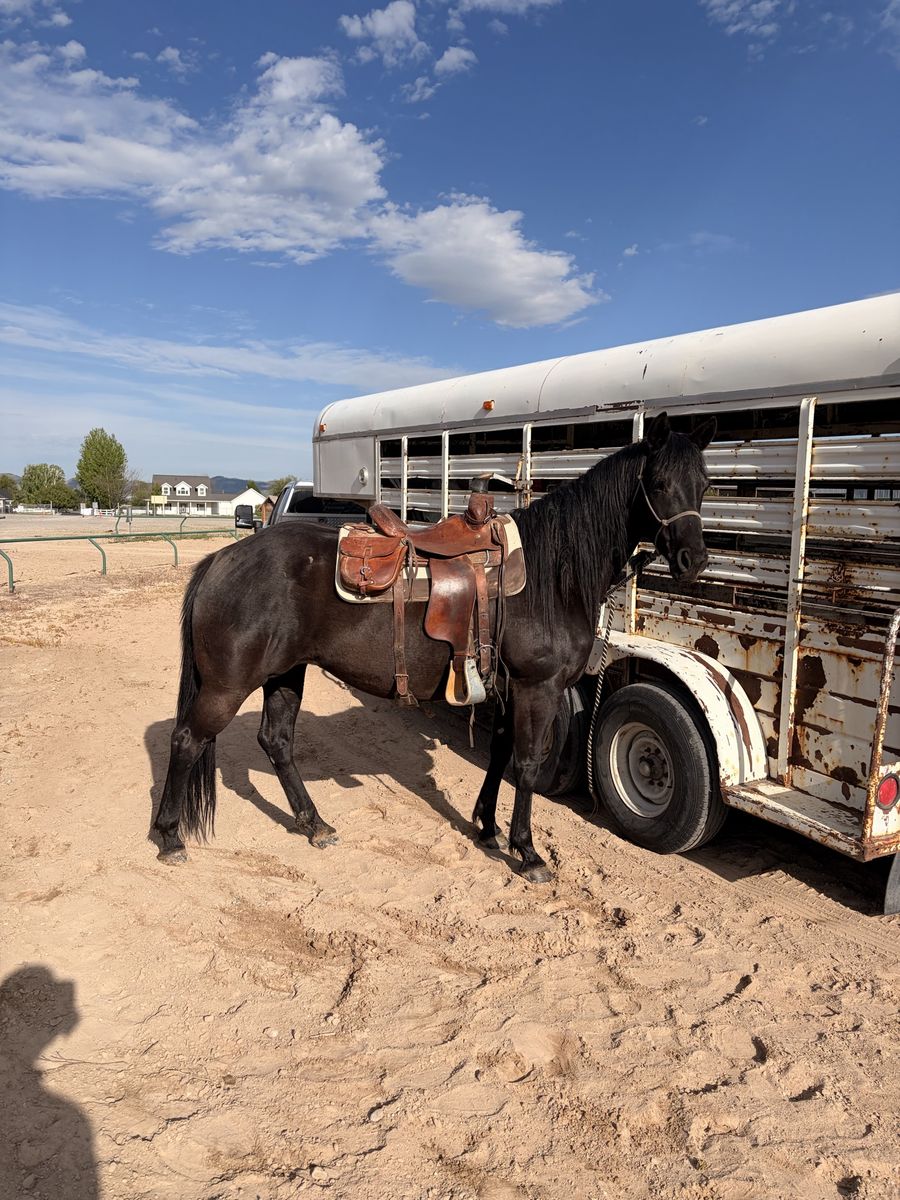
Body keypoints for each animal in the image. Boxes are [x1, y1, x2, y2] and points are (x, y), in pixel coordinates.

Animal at [152, 411, 715, 882]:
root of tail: (222, 560)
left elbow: (500, 754)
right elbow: (527, 765)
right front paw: (527, 852)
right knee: (187, 740)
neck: (550, 576)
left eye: (706, 484)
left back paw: (314, 824)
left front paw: (486, 827)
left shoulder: (507, 687)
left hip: (285, 674)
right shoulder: (539, 688)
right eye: (659, 484)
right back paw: (170, 836)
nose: (694, 560)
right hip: (227, 685)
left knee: (277, 742)